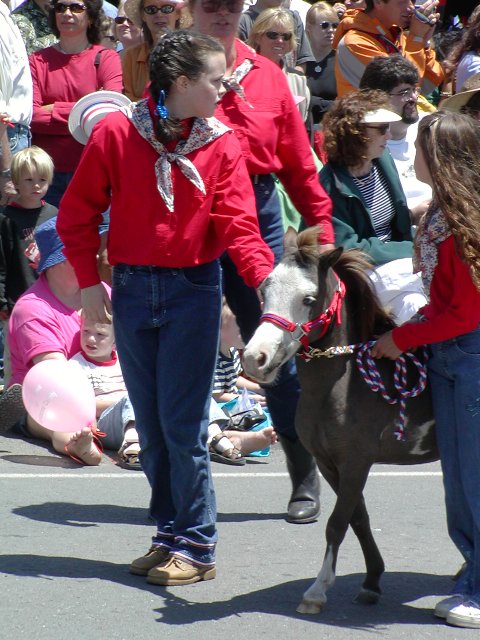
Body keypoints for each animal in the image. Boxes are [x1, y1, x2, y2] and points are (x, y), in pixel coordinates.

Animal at [242, 226, 438, 614]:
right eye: (264, 289)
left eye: (308, 298)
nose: (255, 358)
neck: (345, 384)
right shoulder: (329, 463)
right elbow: (357, 518)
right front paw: (372, 581)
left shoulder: (356, 461)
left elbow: (336, 523)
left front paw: (317, 591)